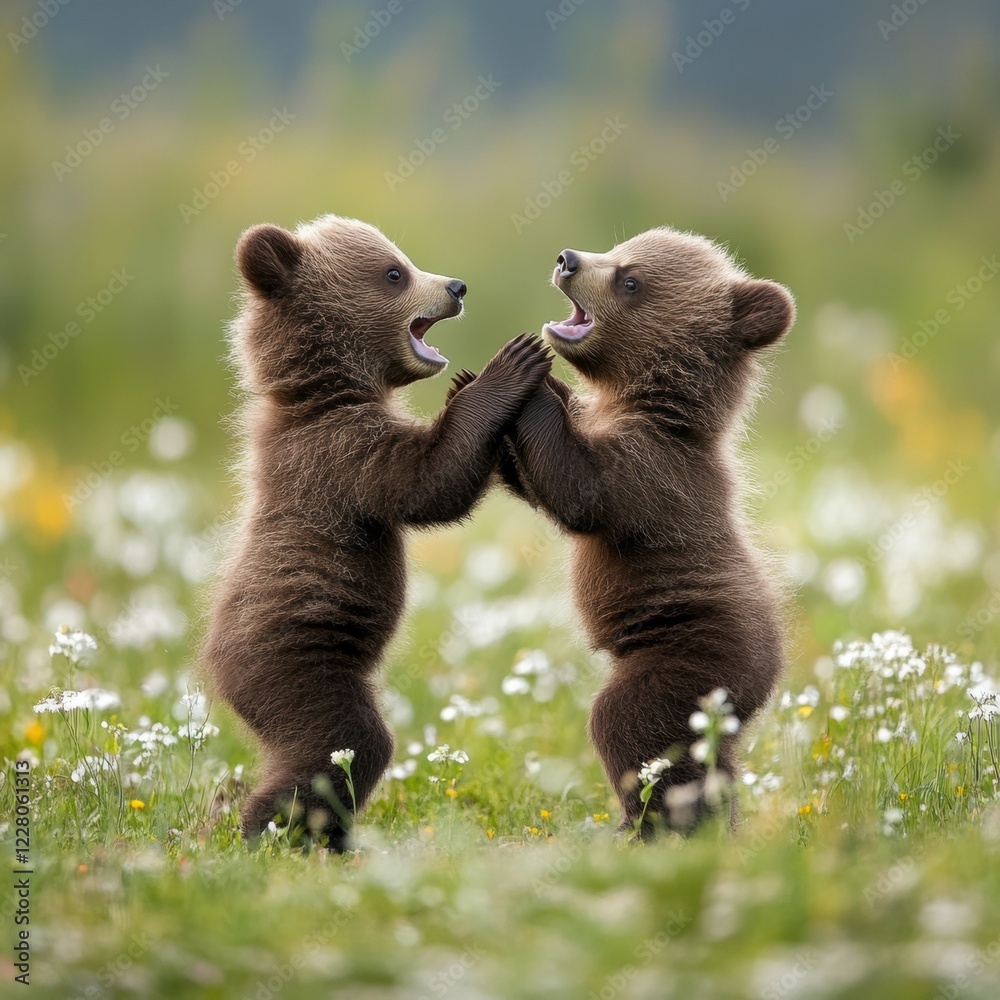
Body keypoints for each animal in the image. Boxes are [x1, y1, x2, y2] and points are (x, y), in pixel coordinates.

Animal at [203, 214, 551, 849]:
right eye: (394, 272)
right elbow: (425, 483)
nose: (456, 286)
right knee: (343, 744)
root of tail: (214, 663)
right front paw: (507, 368)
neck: (324, 394)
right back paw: (269, 828)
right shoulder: (339, 457)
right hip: (290, 659)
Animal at [495, 226, 795, 836]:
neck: (649, 404)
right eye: (617, 248)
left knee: (632, 726)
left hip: (696, 656)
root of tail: (772, 669)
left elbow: (580, 494)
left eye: (629, 280)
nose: (567, 259)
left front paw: (530, 376)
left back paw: (654, 826)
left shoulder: (652, 472)